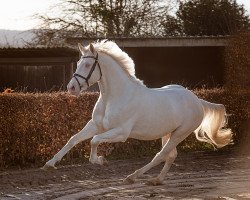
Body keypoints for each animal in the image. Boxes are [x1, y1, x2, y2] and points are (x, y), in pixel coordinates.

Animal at [43, 40, 232, 186]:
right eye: (78, 64)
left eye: (88, 65)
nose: (71, 88)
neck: (114, 97)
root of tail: (197, 101)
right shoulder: (96, 125)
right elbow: (73, 139)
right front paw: (49, 164)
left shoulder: (121, 133)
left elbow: (94, 141)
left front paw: (102, 160)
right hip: (168, 132)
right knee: (171, 155)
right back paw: (156, 180)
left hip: (180, 133)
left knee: (161, 155)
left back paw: (132, 177)